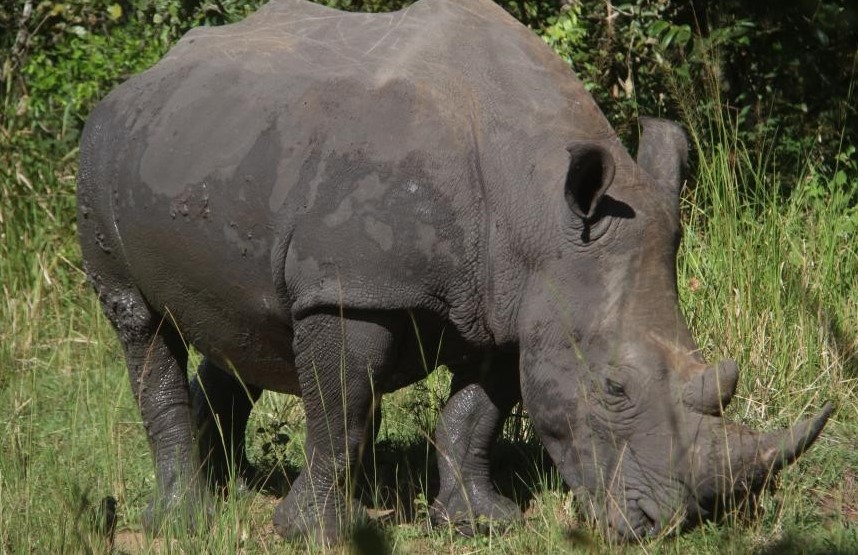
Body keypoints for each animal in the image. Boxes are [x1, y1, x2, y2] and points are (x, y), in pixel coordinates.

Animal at [78, 0, 828, 544]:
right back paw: (183, 519)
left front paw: (479, 522)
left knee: (241, 329)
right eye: (614, 387)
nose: (665, 525)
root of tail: (137, 82)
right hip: (102, 152)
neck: (538, 206)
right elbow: (342, 415)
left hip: (214, 148)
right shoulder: (350, 290)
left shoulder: (513, 301)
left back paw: (232, 487)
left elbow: (476, 414)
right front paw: (314, 534)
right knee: (140, 324)